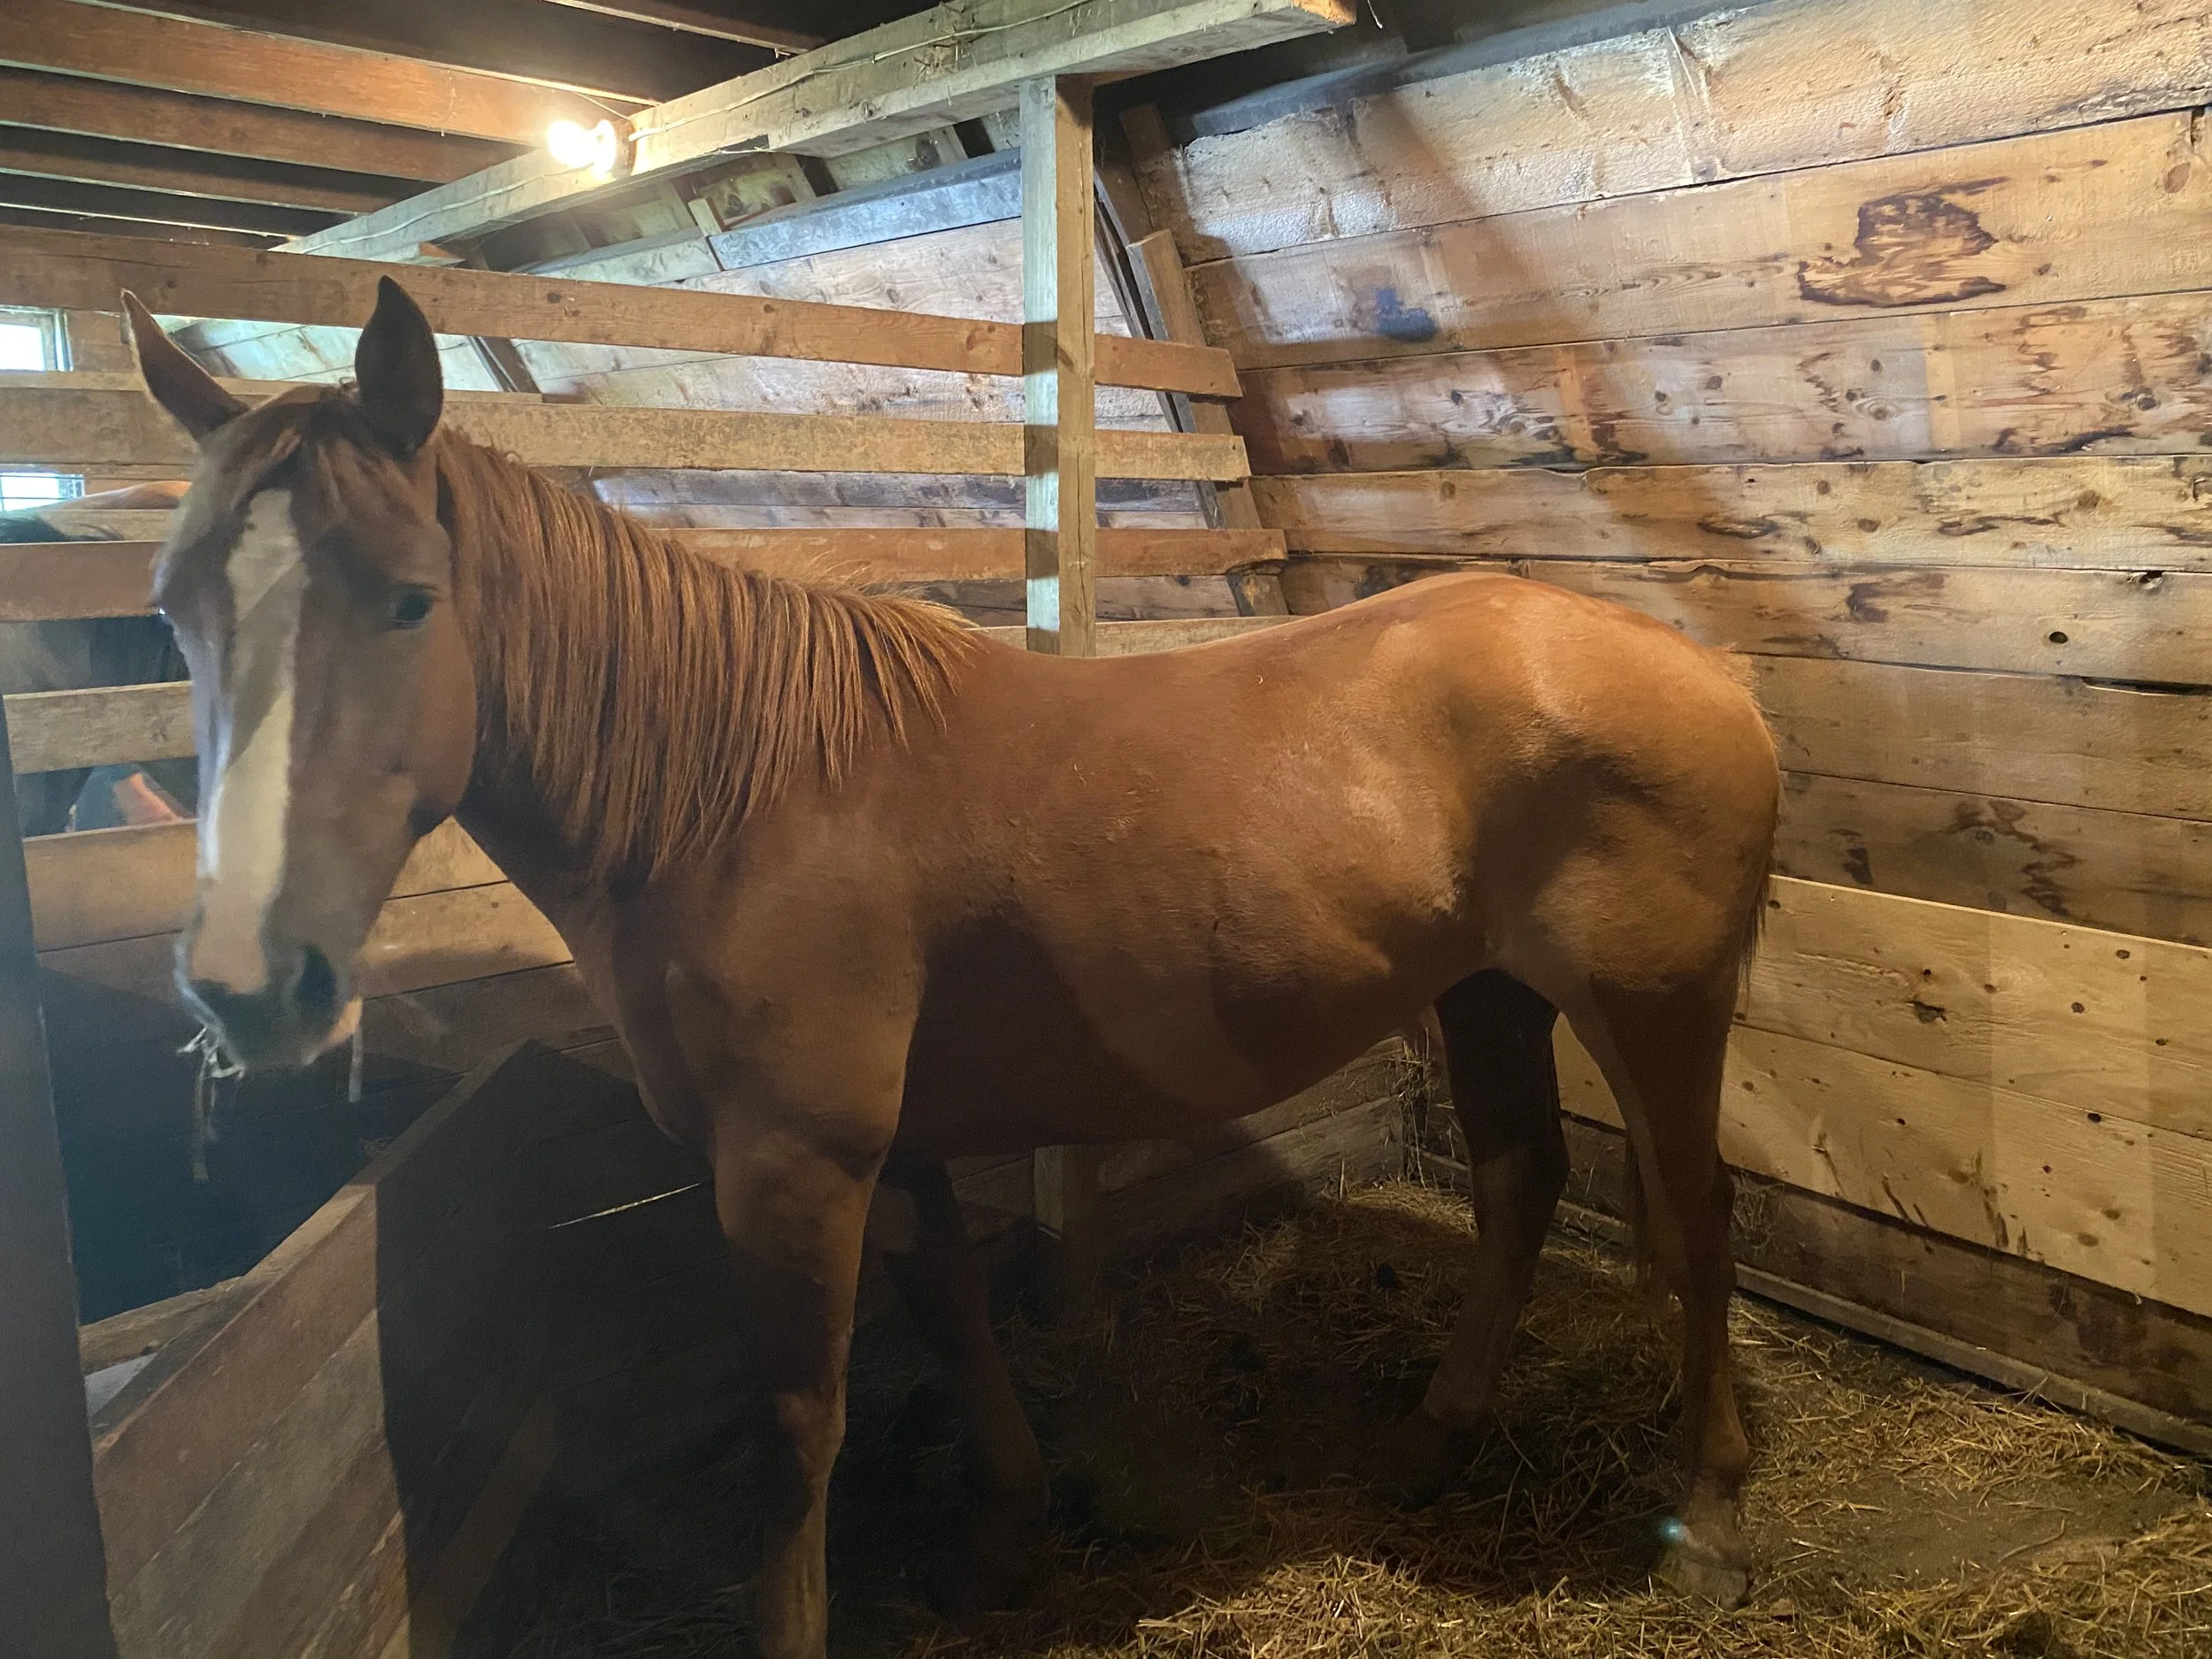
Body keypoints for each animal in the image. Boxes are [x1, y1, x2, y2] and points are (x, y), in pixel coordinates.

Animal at [125, 279, 1781, 1659]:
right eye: (174, 606)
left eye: (409, 597)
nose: (244, 981)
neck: (729, 802)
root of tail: (1701, 667)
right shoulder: (894, 1148)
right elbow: (951, 1314)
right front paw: (1009, 1532)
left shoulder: (792, 1163)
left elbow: (801, 1419)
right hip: (1488, 993)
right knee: (1517, 1182)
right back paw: (1436, 1437)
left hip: (1655, 1009)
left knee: (1701, 1215)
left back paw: (1708, 1516)